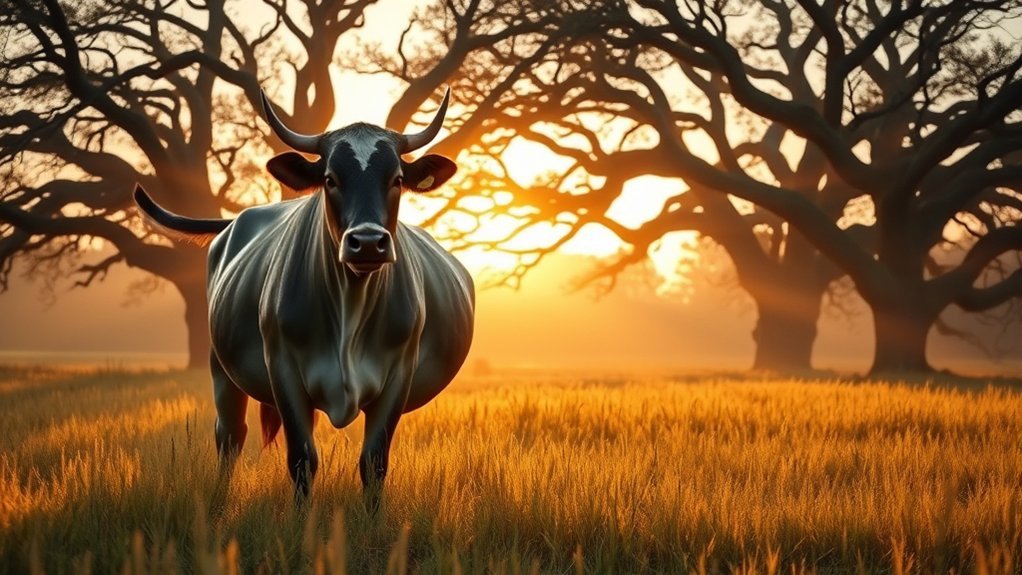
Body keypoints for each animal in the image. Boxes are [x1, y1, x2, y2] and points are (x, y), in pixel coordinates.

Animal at [134, 88, 474, 501]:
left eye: (396, 179)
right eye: (330, 178)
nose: (368, 243)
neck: (351, 307)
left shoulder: (398, 375)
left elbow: (373, 462)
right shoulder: (283, 370)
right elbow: (301, 460)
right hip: (221, 368)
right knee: (229, 436)